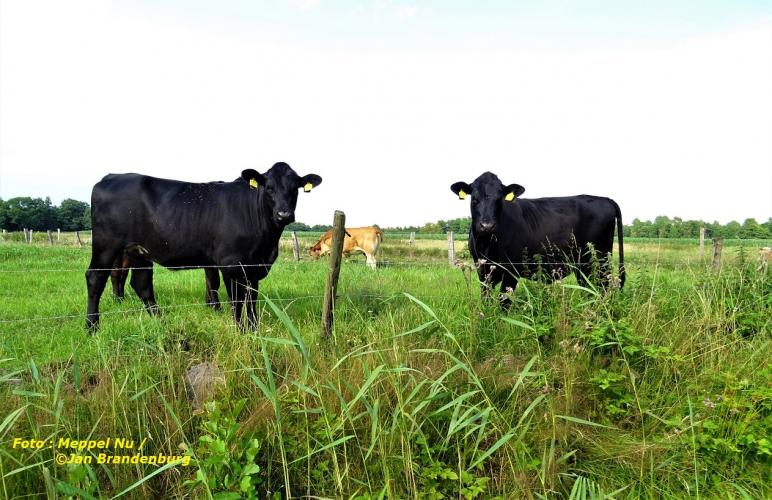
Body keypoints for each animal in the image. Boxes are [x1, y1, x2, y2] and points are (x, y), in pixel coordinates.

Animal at [86, 162, 322, 331]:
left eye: (296, 189)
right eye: (269, 188)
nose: (284, 214)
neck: (266, 244)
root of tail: (110, 176)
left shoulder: (254, 267)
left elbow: (251, 300)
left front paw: (255, 330)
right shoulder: (231, 265)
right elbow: (236, 301)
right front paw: (240, 330)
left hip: (139, 251)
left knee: (141, 284)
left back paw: (160, 321)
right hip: (106, 246)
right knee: (96, 277)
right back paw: (92, 326)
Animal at [450, 172, 624, 307]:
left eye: (499, 199)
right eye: (474, 198)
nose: (487, 226)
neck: (487, 244)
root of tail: (604, 199)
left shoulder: (511, 272)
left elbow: (504, 304)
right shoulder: (482, 271)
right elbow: (485, 300)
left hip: (600, 259)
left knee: (603, 286)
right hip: (583, 265)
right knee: (589, 288)